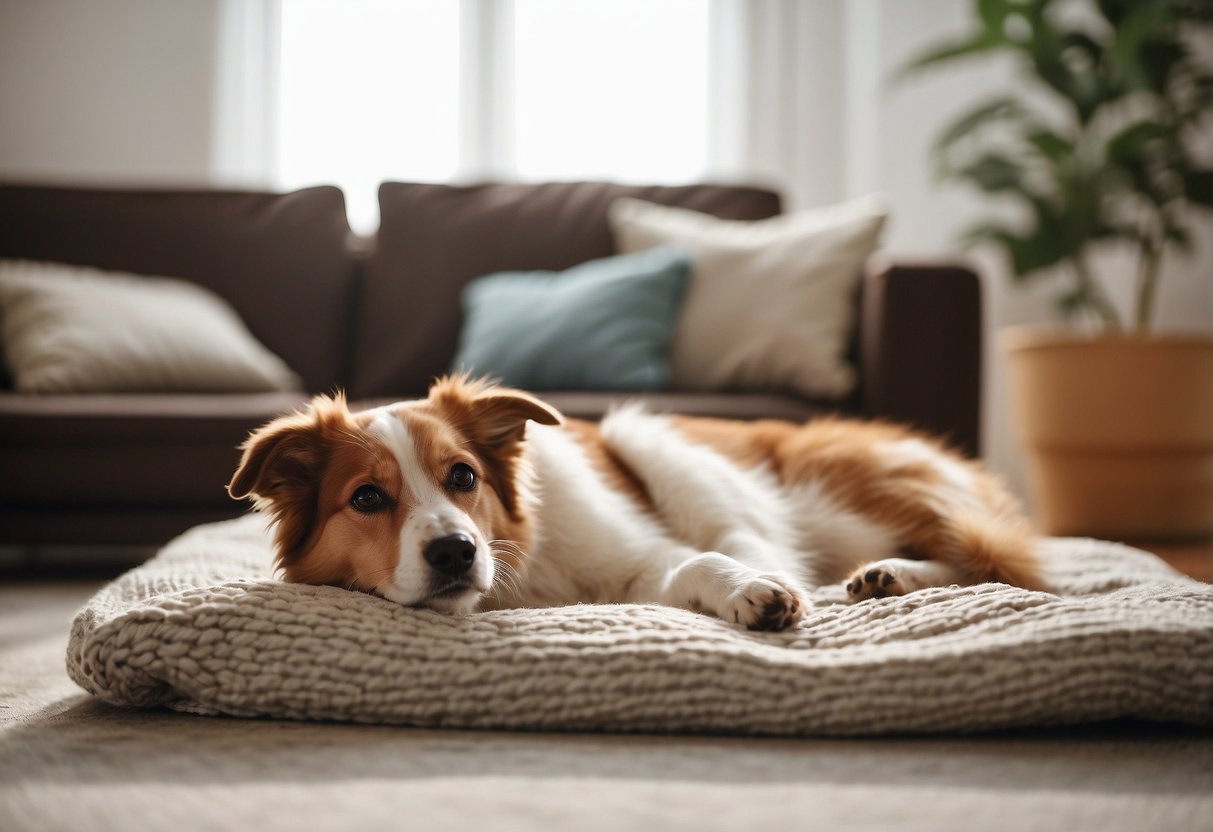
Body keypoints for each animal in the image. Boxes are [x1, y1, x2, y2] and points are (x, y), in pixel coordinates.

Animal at [228, 375, 1043, 630]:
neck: (520, 579)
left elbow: (702, 562)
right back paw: (880, 579)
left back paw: (877, 576)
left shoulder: (641, 557)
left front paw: (754, 590)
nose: (457, 552)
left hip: (655, 437)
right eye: (366, 497)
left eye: (462, 477)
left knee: (1005, 565)